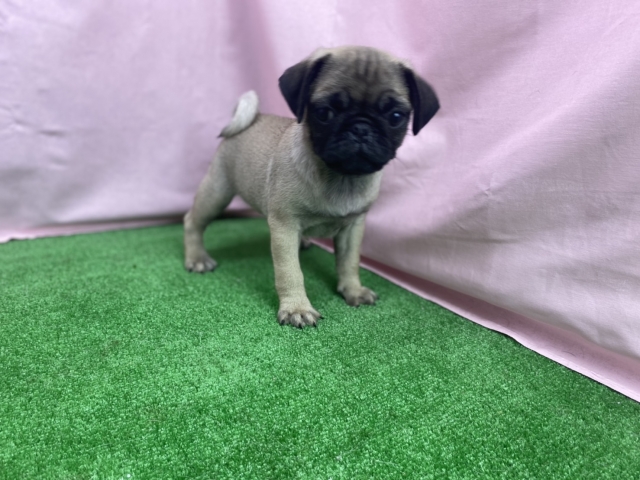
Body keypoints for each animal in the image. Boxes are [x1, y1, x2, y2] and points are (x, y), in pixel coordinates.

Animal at [184, 46, 439, 327]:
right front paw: (296, 308)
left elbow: (349, 263)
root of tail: (254, 118)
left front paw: (353, 290)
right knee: (192, 221)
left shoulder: (353, 228)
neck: (342, 176)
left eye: (395, 117)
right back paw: (197, 258)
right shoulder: (284, 226)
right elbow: (290, 271)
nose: (361, 127)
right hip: (217, 191)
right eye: (325, 112)